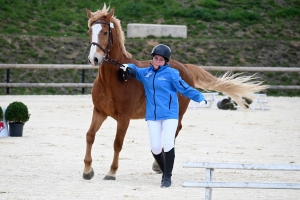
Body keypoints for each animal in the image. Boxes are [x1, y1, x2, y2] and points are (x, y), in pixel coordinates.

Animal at [83, 3, 268, 180]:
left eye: (105, 32)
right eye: (90, 31)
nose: (94, 59)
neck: (115, 79)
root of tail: (185, 67)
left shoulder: (124, 117)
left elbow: (117, 143)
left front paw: (112, 172)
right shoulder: (99, 112)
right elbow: (90, 135)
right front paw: (87, 170)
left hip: (177, 112)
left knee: (174, 131)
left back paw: (158, 165)